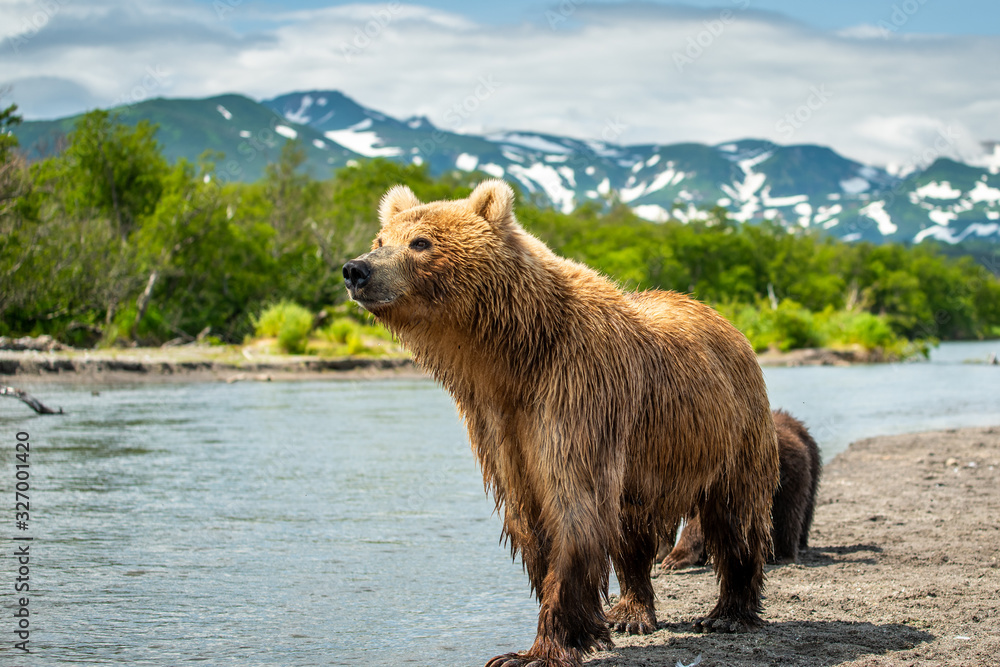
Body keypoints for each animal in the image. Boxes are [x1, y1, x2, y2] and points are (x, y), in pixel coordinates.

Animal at [343, 180, 780, 667]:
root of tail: (724, 319)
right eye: (381, 239)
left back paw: (728, 613)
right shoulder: (499, 423)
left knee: (736, 514)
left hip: (732, 428)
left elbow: (574, 509)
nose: (356, 270)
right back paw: (631, 611)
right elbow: (530, 517)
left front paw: (535, 650)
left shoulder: (576, 393)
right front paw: (584, 628)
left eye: (420, 242)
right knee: (630, 528)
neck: (512, 355)